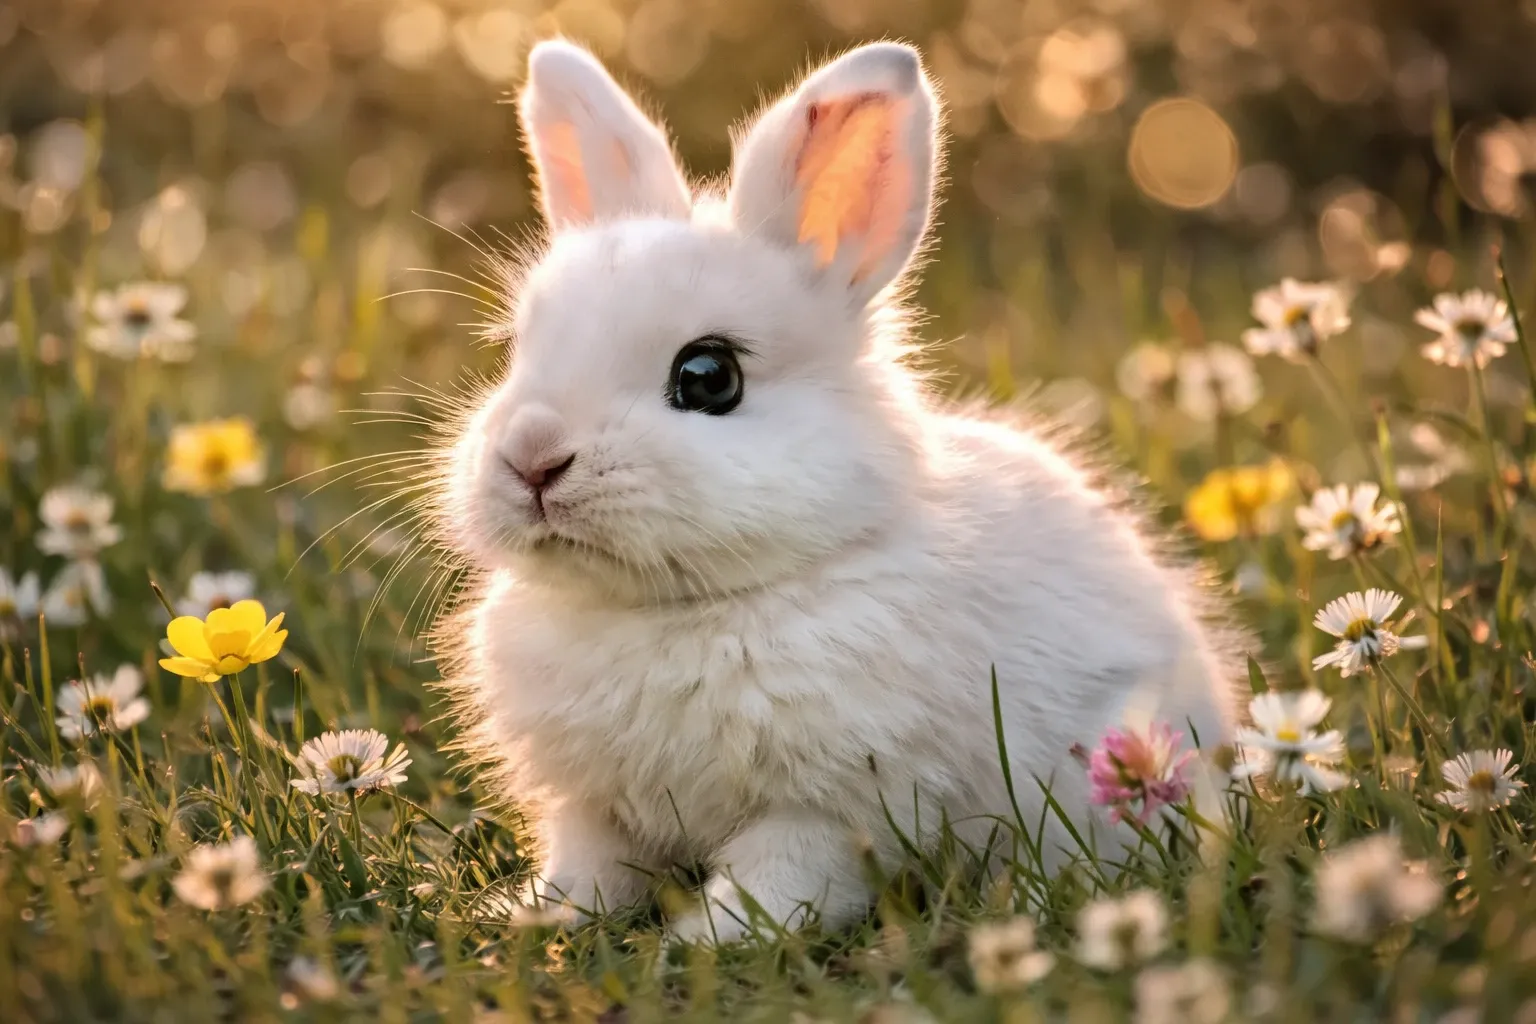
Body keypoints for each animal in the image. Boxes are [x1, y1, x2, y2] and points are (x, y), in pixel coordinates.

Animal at [430, 38, 1250, 944]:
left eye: (708, 376)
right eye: (517, 351)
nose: (533, 459)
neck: (676, 608)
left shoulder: (829, 809)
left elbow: (780, 874)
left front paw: (711, 938)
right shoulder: (593, 808)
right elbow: (592, 867)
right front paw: (534, 917)